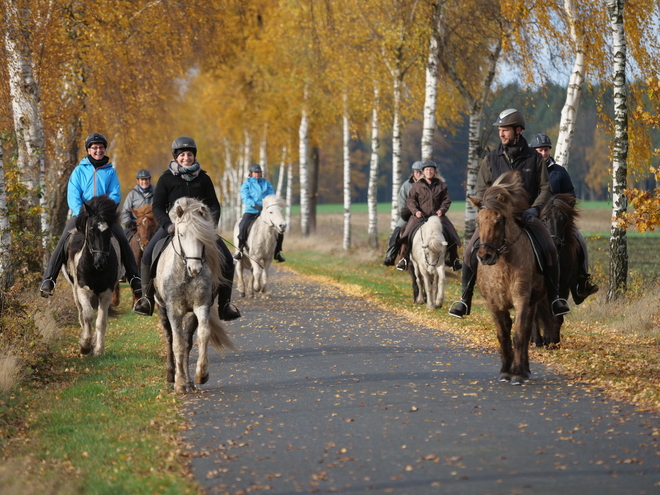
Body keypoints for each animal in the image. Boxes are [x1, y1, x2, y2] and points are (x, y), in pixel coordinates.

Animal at [62, 195, 124, 356]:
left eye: (109, 231)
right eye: (90, 229)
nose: (100, 262)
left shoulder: (106, 292)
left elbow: (101, 321)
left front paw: (98, 349)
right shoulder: (83, 289)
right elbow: (88, 315)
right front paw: (85, 346)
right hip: (75, 291)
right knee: (81, 314)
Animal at [154, 198, 235, 396]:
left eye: (202, 237)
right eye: (181, 234)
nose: (195, 269)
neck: (184, 273)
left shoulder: (200, 306)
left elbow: (201, 335)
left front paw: (200, 375)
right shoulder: (173, 310)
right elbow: (177, 344)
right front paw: (179, 384)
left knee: (187, 341)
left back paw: (189, 381)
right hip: (161, 308)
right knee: (169, 338)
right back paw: (171, 375)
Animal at [470, 172, 548, 386]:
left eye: (498, 221)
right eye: (478, 222)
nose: (484, 256)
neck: (503, 265)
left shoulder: (522, 298)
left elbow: (519, 334)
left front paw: (518, 373)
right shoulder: (493, 302)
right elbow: (503, 334)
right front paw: (505, 371)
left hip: (533, 302)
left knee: (528, 329)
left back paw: (525, 369)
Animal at [532, 195, 580, 348]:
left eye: (564, 219)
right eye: (544, 219)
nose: (555, 244)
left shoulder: (563, 286)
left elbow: (557, 315)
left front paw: (553, 341)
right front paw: (539, 340)